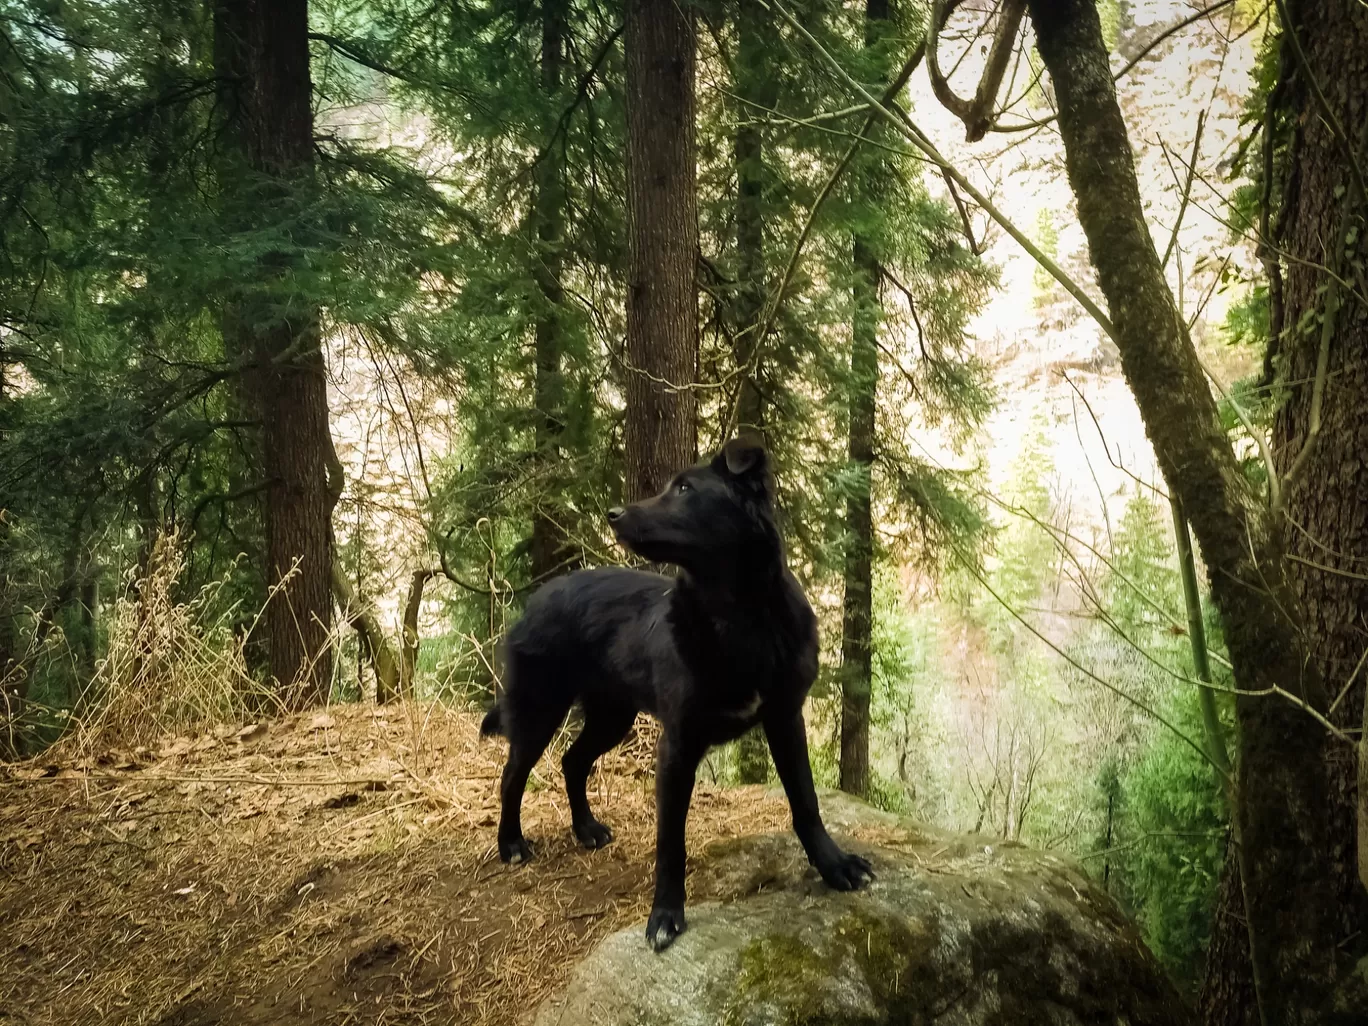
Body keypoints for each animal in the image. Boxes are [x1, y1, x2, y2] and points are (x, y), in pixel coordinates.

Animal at [476, 437, 870, 952]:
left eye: (685, 489)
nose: (613, 513)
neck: (738, 619)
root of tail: (536, 597)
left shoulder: (786, 718)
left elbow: (806, 802)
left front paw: (834, 866)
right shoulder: (678, 746)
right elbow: (671, 841)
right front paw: (665, 913)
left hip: (611, 716)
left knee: (572, 761)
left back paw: (586, 829)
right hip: (541, 707)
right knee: (512, 776)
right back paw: (511, 844)